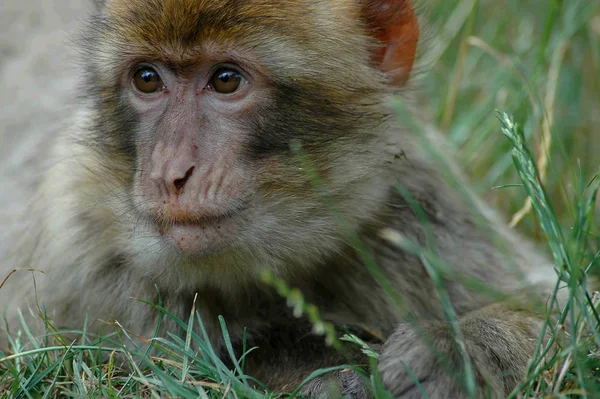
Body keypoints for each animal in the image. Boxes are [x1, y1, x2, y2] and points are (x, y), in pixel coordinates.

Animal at [0, 0, 564, 398]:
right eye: (147, 79)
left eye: (226, 80)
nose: (171, 174)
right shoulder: (78, 249)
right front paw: (328, 371)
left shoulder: (416, 206)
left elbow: (563, 309)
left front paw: (461, 350)